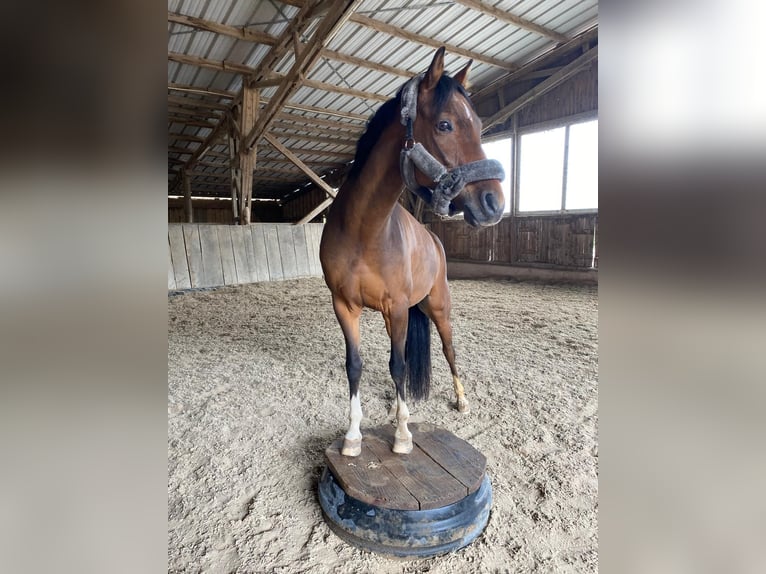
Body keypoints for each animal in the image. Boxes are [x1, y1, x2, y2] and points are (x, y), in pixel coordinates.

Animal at [319, 47, 506, 457]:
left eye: (479, 125)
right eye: (445, 125)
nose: (494, 204)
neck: (365, 230)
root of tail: (434, 239)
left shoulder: (399, 306)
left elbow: (400, 365)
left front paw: (403, 435)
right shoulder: (344, 305)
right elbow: (356, 365)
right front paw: (353, 436)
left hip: (437, 307)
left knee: (448, 350)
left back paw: (460, 399)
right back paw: (394, 405)